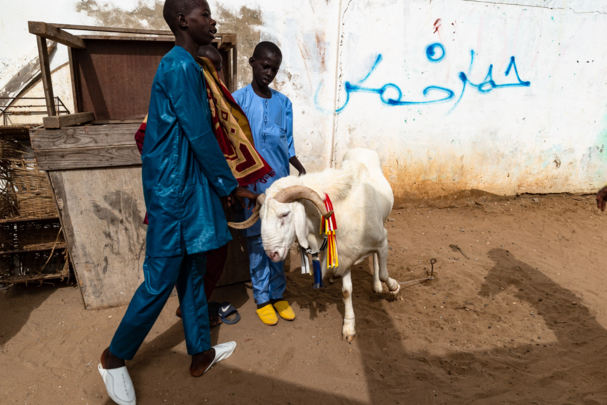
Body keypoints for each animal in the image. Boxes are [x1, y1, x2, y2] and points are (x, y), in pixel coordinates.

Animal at [228, 147, 400, 340]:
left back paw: (377, 285)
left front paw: (394, 288)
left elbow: (384, 273)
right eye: (261, 217)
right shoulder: (344, 252)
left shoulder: (382, 241)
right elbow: (346, 291)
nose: (272, 254)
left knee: (377, 261)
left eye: (285, 214)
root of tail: (361, 148)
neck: (341, 210)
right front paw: (349, 327)